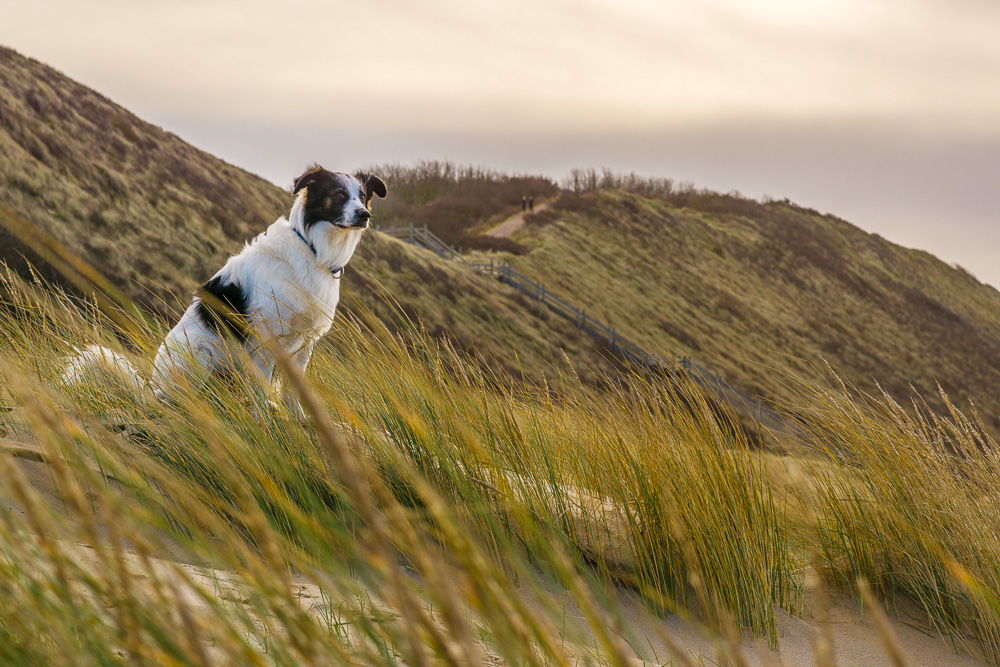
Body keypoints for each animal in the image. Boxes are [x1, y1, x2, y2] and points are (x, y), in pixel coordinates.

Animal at [63, 166, 386, 418]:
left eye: (362, 196)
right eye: (340, 194)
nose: (365, 214)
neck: (313, 250)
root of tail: (153, 391)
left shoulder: (305, 342)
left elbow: (294, 391)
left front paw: (301, 420)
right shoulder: (266, 340)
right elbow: (262, 385)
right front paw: (265, 422)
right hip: (199, 353)